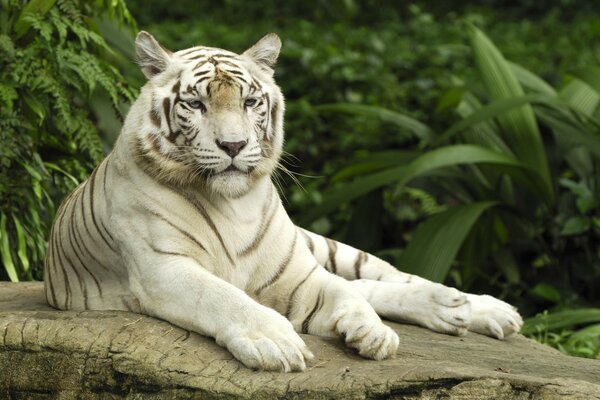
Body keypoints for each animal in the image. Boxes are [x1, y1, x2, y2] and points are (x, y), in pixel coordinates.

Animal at [43, 32, 520, 372]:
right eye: (195, 104)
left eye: (250, 101)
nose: (233, 145)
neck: (232, 204)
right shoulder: (164, 268)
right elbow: (222, 297)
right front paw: (278, 342)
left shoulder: (297, 274)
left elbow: (343, 293)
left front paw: (371, 332)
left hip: (324, 247)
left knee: (379, 277)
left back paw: (474, 307)